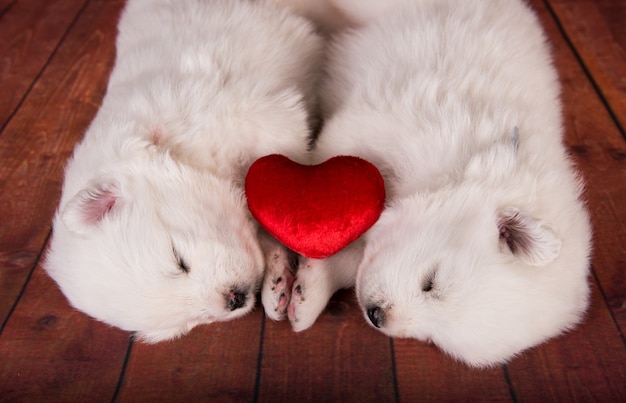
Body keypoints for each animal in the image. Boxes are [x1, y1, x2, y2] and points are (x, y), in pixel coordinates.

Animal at [288, 0, 588, 368]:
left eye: (435, 338)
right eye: (431, 283)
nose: (376, 316)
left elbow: (350, 253)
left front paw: (307, 293)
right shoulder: (371, 126)